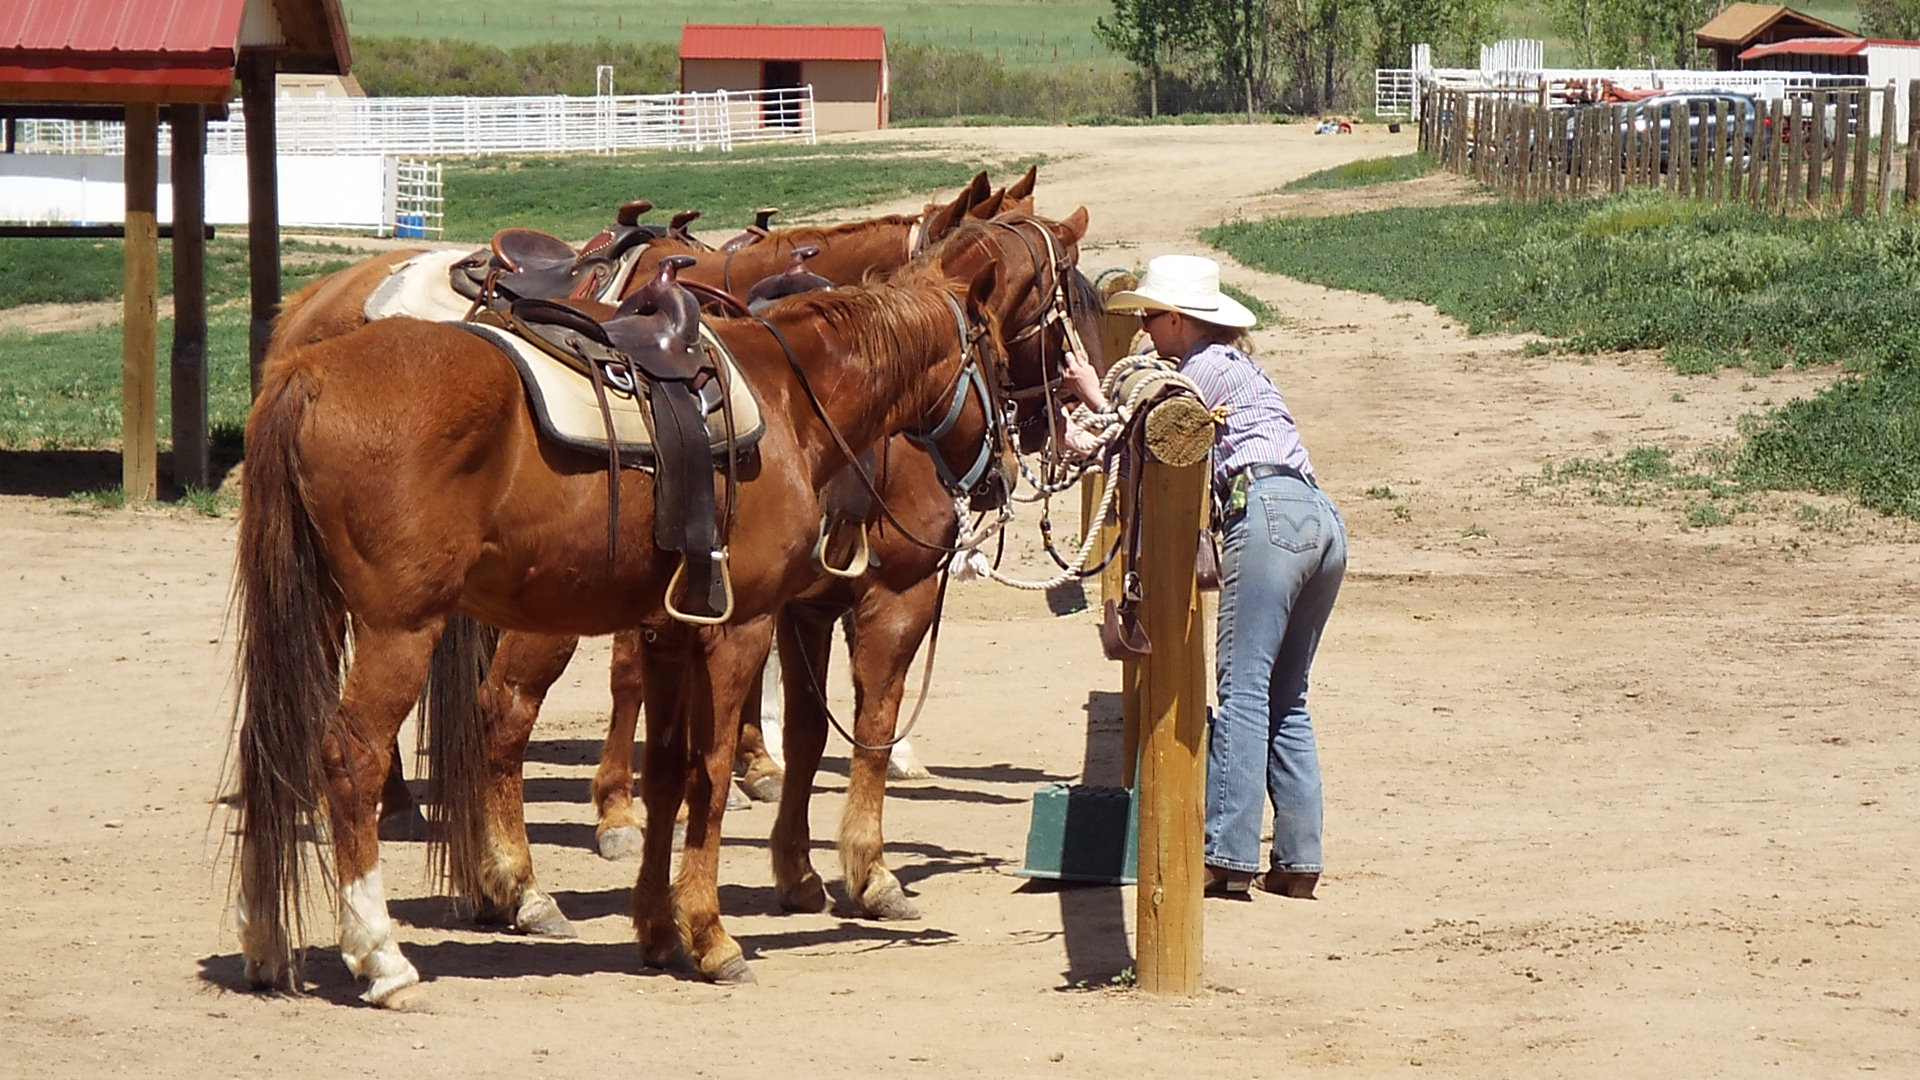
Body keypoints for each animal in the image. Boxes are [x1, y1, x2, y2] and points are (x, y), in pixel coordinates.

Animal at [232, 208, 1090, 999]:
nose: (1007, 469)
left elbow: (677, 769)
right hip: (403, 627)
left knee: (274, 735)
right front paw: (719, 934)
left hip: (316, 612)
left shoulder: (677, 630)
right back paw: (387, 949)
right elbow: (726, 769)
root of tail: (308, 369)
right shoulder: (763, 622)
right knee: (362, 750)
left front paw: (658, 928)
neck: (793, 402)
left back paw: (269, 937)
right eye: (1015, 339)